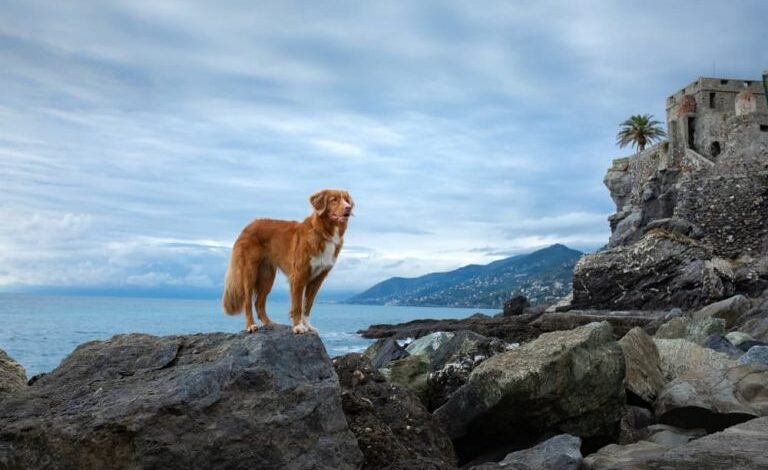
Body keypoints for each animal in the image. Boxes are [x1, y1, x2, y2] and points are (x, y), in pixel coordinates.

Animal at [222, 188, 354, 334]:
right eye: (334, 199)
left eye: (346, 200)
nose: (348, 207)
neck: (324, 232)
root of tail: (247, 226)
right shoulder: (299, 275)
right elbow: (297, 305)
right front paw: (298, 327)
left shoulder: (318, 278)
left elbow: (308, 305)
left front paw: (308, 326)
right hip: (250, 272)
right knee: (248, 302)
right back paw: (251, 325)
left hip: (267, 276)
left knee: (259, 303)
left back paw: (270, 323)